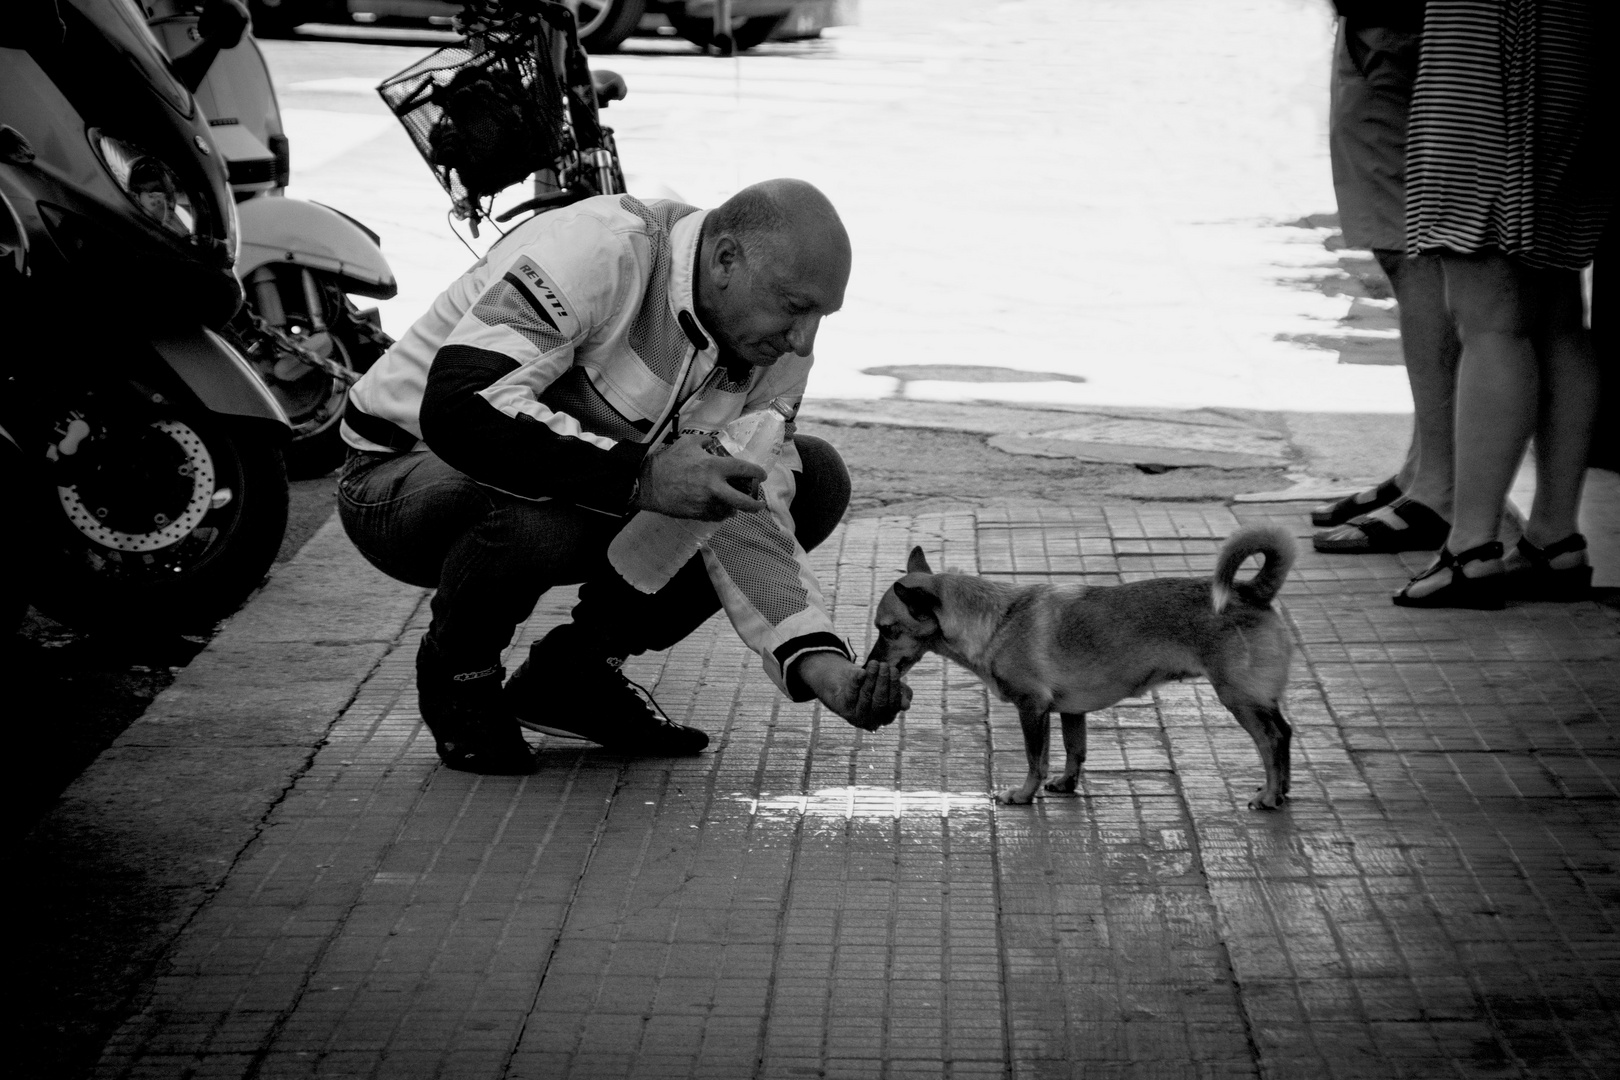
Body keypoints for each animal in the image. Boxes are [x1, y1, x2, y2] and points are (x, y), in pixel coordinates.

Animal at [868, 524, 1296, 809]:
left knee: (1271, 740)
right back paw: (1283, 790)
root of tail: (1250, 592)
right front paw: (1066, 783)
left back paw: (1269, 795)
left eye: (887, 631)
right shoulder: (1072, 712)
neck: (998, 619)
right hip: (1258, 699)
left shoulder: (1032, 709)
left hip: (1238, 699)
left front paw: (1023, 794)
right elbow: (1075, 751)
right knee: (1286, 733)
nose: (870, 661)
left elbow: (1035, 758)